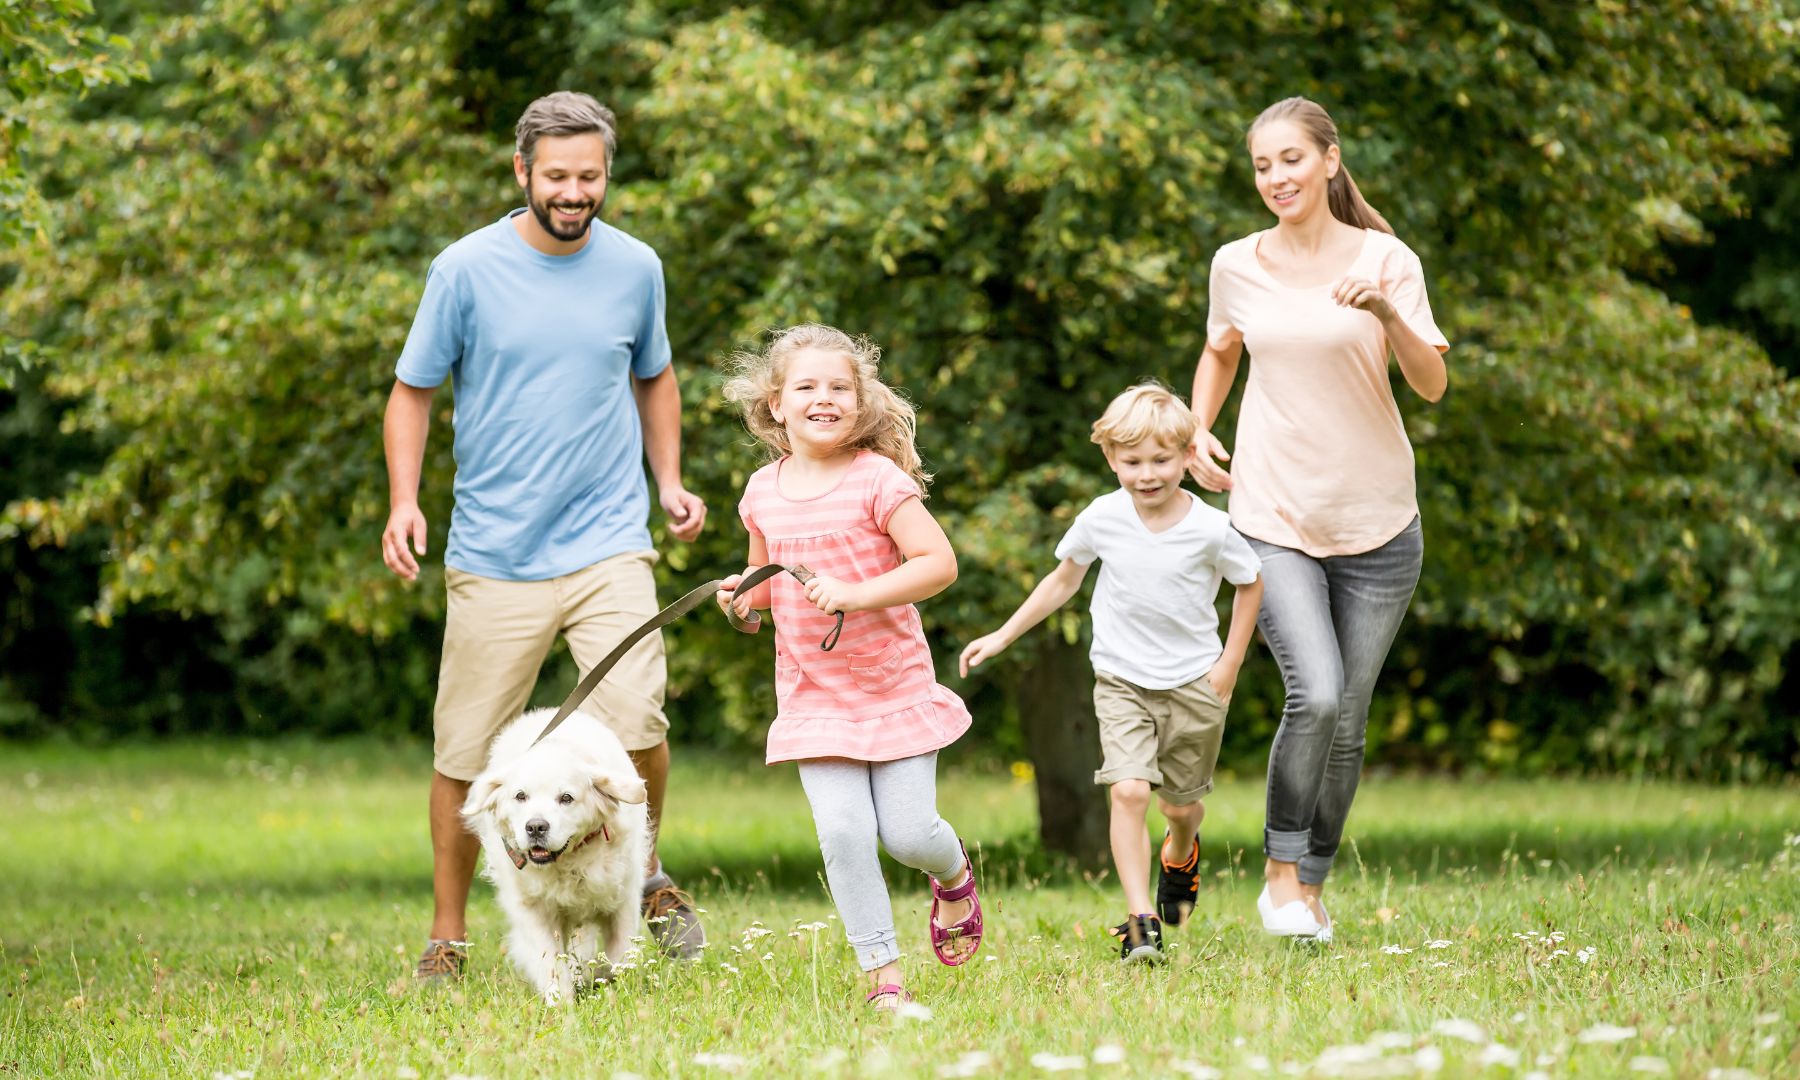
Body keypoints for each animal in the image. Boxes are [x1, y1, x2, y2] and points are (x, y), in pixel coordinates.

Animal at [460, 709, 651, 1000]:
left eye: (566, 798)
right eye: (520, 796)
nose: (536, 827)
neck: (568, 862)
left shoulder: (623, 899)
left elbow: (620, 955)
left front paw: (614, 986)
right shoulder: (533, 908)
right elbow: (549, 959)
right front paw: (561, 1001)